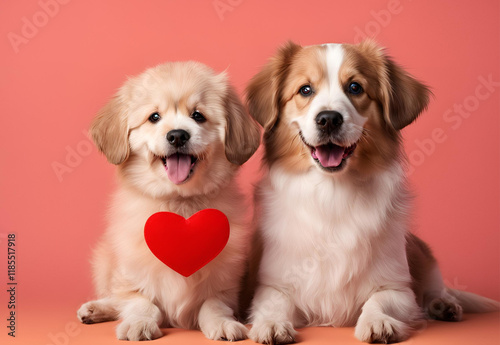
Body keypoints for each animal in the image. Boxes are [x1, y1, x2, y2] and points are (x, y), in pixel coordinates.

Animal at [244, 40, 498, 342]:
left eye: (355, 87)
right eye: (305, 90)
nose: (329, 119)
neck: (333, 192)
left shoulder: (397, 287)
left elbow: (380, 300)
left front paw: (378, 321)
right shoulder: (273, 283)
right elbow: (274, 303)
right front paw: (271, 323)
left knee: (435, 288)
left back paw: (443, 304)